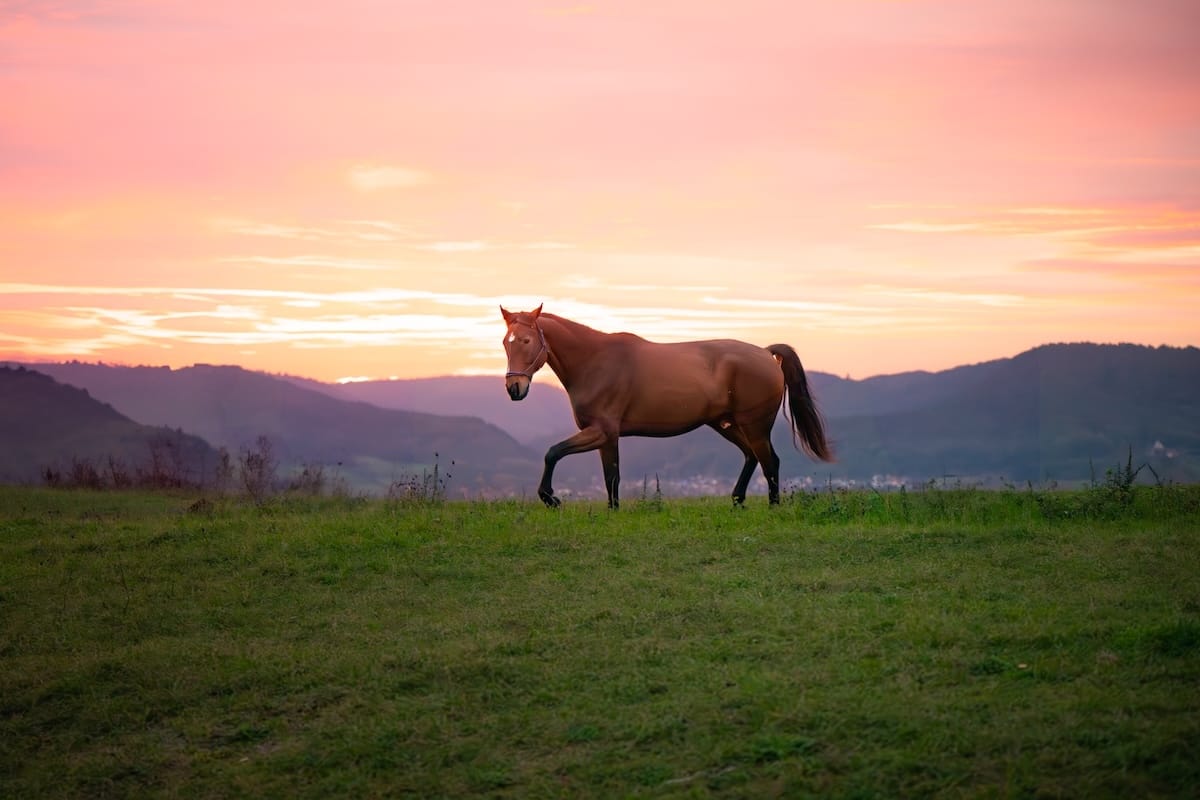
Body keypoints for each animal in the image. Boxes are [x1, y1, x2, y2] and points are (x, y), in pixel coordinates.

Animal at [501, 304, 834, 508]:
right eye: (506, 342)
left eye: (527, 341)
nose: (514, 388)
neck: (595, 362)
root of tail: (765, 353)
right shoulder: (607, 437)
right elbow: (611, 477)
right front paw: (612, 511)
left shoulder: (601, 431)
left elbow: (553, 453)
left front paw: (550, 498)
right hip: (725, 424)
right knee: (752, 457)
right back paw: (737, 500)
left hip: (755, 426)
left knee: (770, 462)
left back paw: (772, 508)